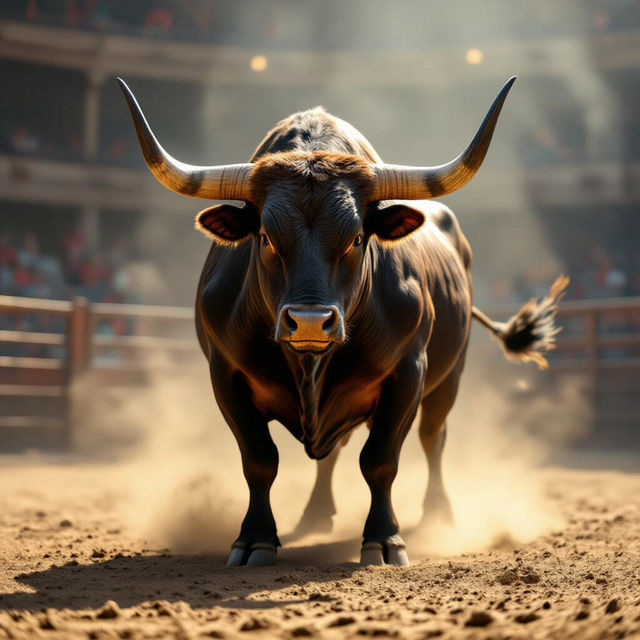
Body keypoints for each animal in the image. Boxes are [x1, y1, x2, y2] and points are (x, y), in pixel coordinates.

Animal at [119, 76, 567, 567]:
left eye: (356, 238)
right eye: (265, 238)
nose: (310, 322)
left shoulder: (408, 372)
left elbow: (381, 460)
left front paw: (385, 539)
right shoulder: (225, 373)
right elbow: (259, 459)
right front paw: (254, 538)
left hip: (450, 376)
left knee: (433, 437)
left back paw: (438, 514)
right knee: (332, 453)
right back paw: (316, 515)